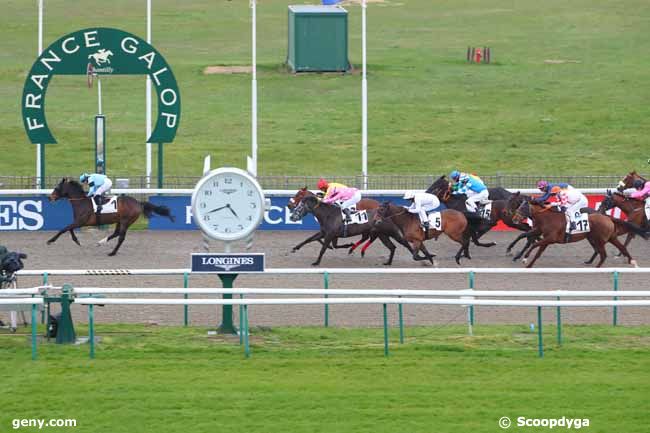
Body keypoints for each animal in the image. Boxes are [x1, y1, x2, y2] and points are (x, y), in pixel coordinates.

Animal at [47, 177, 175, 255]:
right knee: (116, 233)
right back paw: (100, 242)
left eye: (57, 188)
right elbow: (69, 229)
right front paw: (77, 241)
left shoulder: (81, 221)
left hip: (126, 221)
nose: (50, 197)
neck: (81, 202)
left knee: (121, 237)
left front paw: (50, 240)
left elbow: (64, 229)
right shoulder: (78, 222)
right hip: (120, 221)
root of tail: (138, 203)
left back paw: (112, 252)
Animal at [512, 196, 644, 266]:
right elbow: (534, 245)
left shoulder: (550, 238)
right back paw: (632, 261)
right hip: (608, 237)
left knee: (603, 253)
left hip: (600, 239)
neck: (548, 218)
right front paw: (525, 260)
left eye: (523, 207)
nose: (514, 219)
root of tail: (607, 217)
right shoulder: (542, 234)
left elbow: (535, 245)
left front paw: (525, 259)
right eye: (519, 206)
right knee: (620, 247)